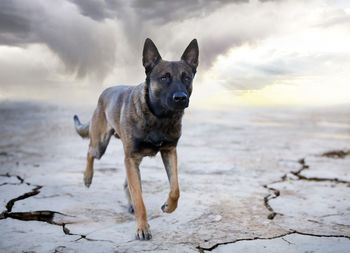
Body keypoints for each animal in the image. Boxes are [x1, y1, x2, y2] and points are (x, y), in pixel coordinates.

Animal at [73, 38, 200, 240]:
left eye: (186, 77)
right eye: (164, 78)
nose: (181, 98)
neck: (159, 118)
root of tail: (104, 92)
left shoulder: (169, 151)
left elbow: (175, 189)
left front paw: (169, 206)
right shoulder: (131, 158)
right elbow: (140, 198)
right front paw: (142, 227)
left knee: (127, 183)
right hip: (101, 144)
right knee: (90, 152)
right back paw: (87, 177)